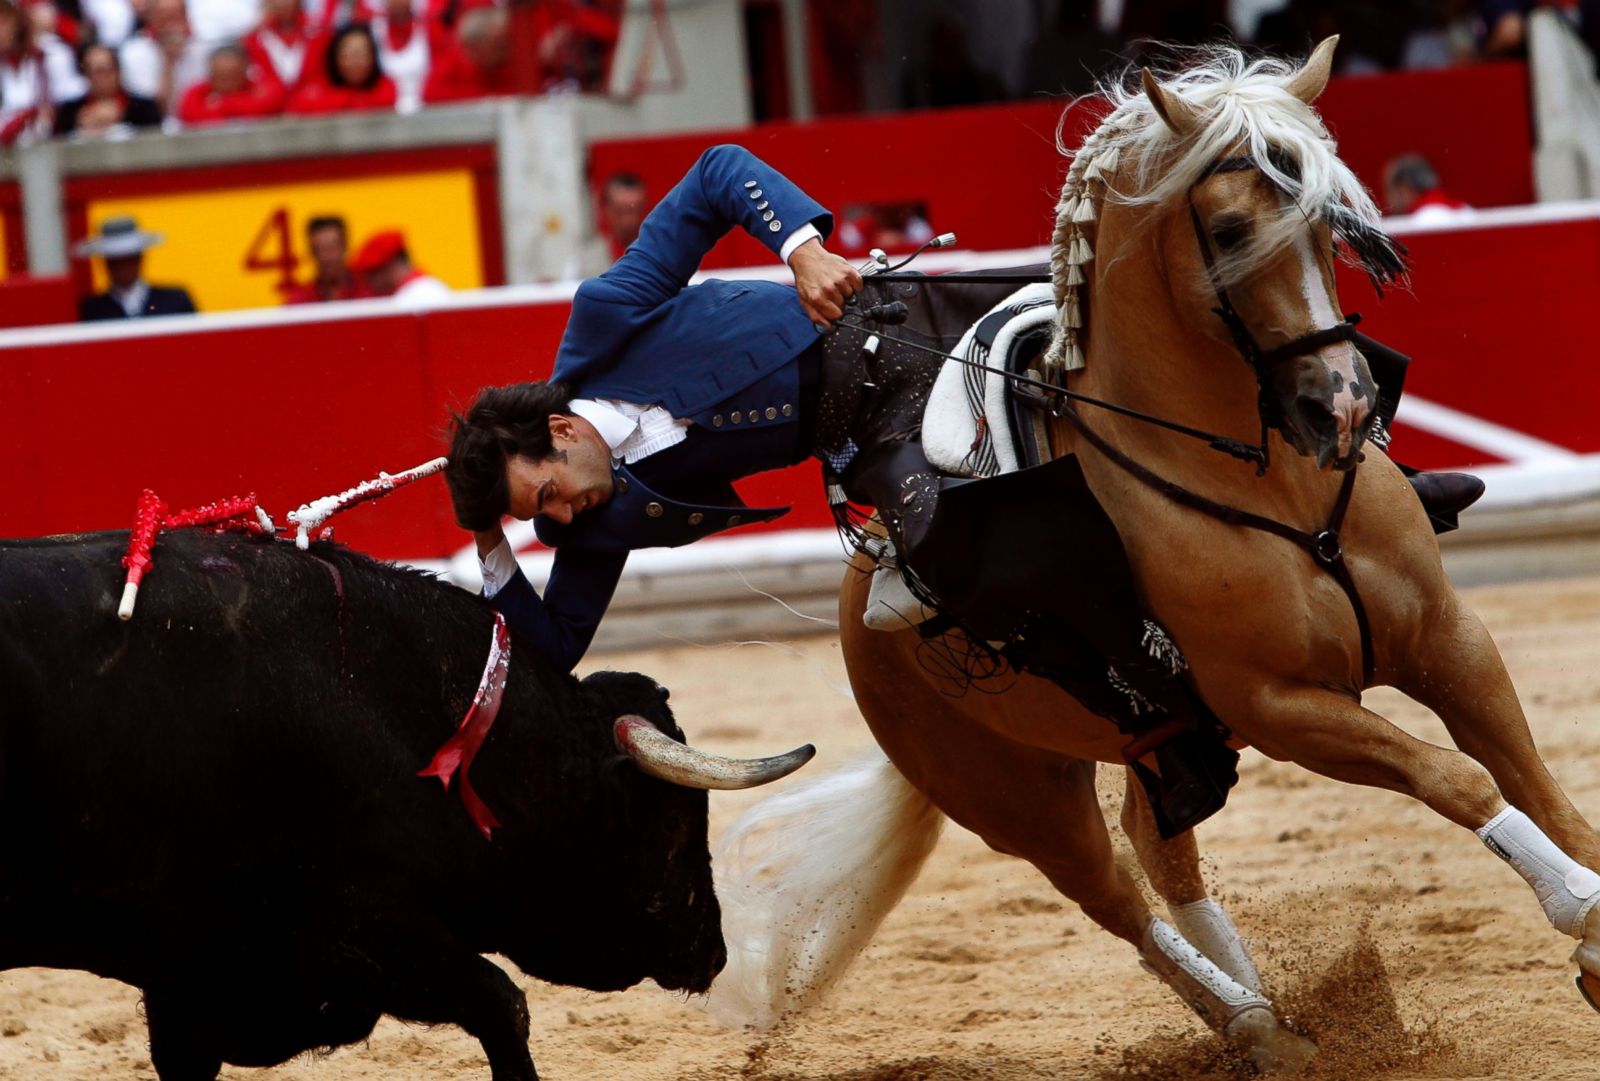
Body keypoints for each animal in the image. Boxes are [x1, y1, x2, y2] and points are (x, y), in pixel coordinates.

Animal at [710, 37, 1600, 1068]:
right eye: (1227, 227)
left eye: (1330, 223)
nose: (1340, 404)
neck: (1276, 487)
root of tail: (864, 593)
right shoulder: (1282, 705)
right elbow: (1458, 777)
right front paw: (1585, 910)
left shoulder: (1450, 642)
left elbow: (1532, 780)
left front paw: (1596, 931)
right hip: (1021, 802)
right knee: (1122, 904)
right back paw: (1260, 1027)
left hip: (1162, 740)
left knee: (1165, 858)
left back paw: (1276, 1023)